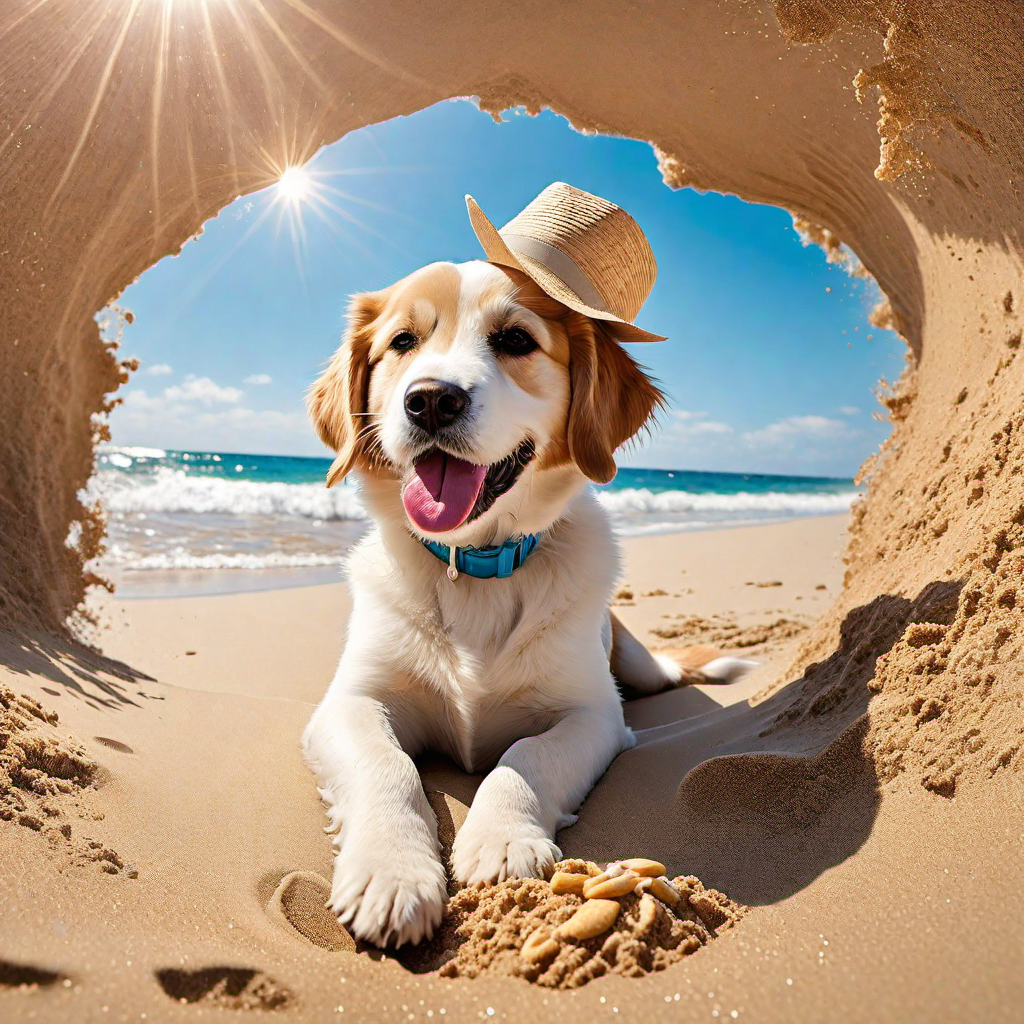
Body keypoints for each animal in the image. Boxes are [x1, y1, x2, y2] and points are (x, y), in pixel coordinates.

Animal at [299, 256, 753, 942]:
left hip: (636, 665)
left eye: (515, 339)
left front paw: (502, 839)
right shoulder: (350, 702)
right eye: (402, 342)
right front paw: (391, 870)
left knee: (664, 674)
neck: (477, 568)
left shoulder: (595, 715)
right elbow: (387, 765)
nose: (430, 400)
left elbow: (529, 756)